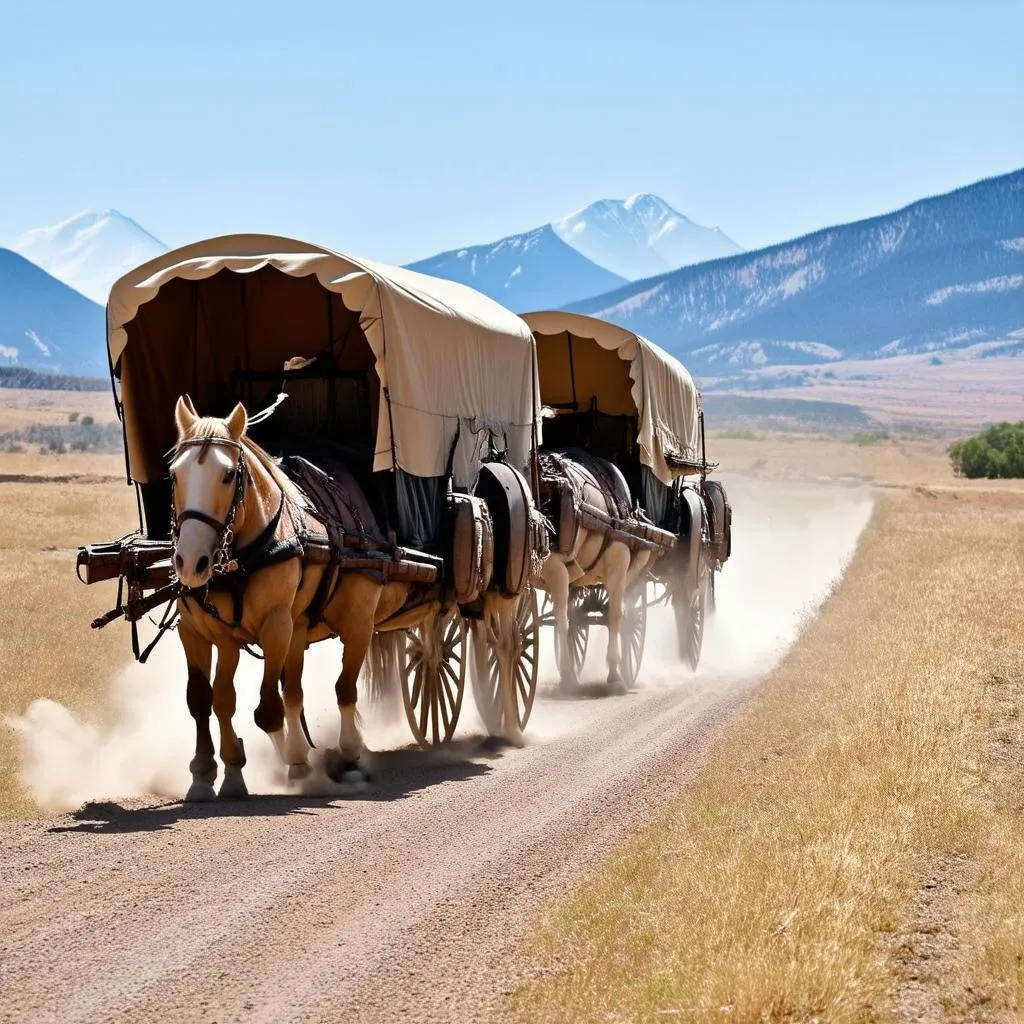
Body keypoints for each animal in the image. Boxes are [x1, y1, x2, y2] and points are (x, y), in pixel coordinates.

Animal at [169, 397, 528, 798]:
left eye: (228, 475)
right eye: (174, 475)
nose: (190, 562)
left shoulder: (294, 625)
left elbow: (286, 705)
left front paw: (326, 758)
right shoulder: (203, 632)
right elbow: (210, 700)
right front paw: (212, 773)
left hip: (501, 590)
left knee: (505, 647)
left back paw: (511, 725)